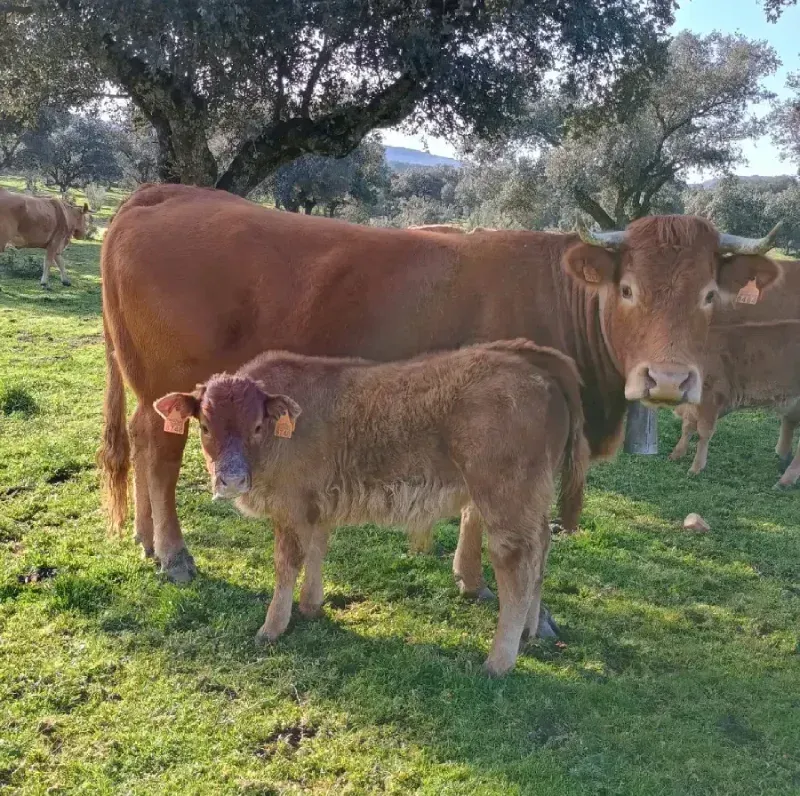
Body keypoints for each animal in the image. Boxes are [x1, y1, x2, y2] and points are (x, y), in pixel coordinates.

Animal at [98, 183, 783, 597]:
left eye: (709, 295)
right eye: (628, 289)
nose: (668, 380)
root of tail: (166, 193)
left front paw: (468, 577)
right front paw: (486, 587)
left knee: (140, 437)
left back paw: (145, 540)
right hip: (176, 381)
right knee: (162, 454)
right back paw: (175, 555)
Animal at [153, 339, 589, 676]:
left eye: (257, 426)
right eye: (205, 426)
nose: (231, 479)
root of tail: (526, 358)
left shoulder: (291, 509)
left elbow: (286, 563)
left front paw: (272, 627)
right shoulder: (317, 504)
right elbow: (318, 549)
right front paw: (311, 606)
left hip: (505, 499)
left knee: (515, 564)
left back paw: (498, 662)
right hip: (532, 501)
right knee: (541, 551)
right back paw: (529, 632)